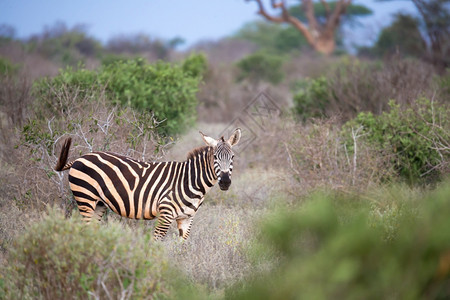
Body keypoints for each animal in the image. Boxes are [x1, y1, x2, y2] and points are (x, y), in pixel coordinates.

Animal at [54, 127, 241, 240]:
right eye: (215, 157)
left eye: (232, 157)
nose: (225, 182)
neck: (191, 182)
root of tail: (81, 157)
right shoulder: (166, 214)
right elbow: (157, 244)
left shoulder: (187, 218)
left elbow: (182, 248)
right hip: (85, 197)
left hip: (99, 203)